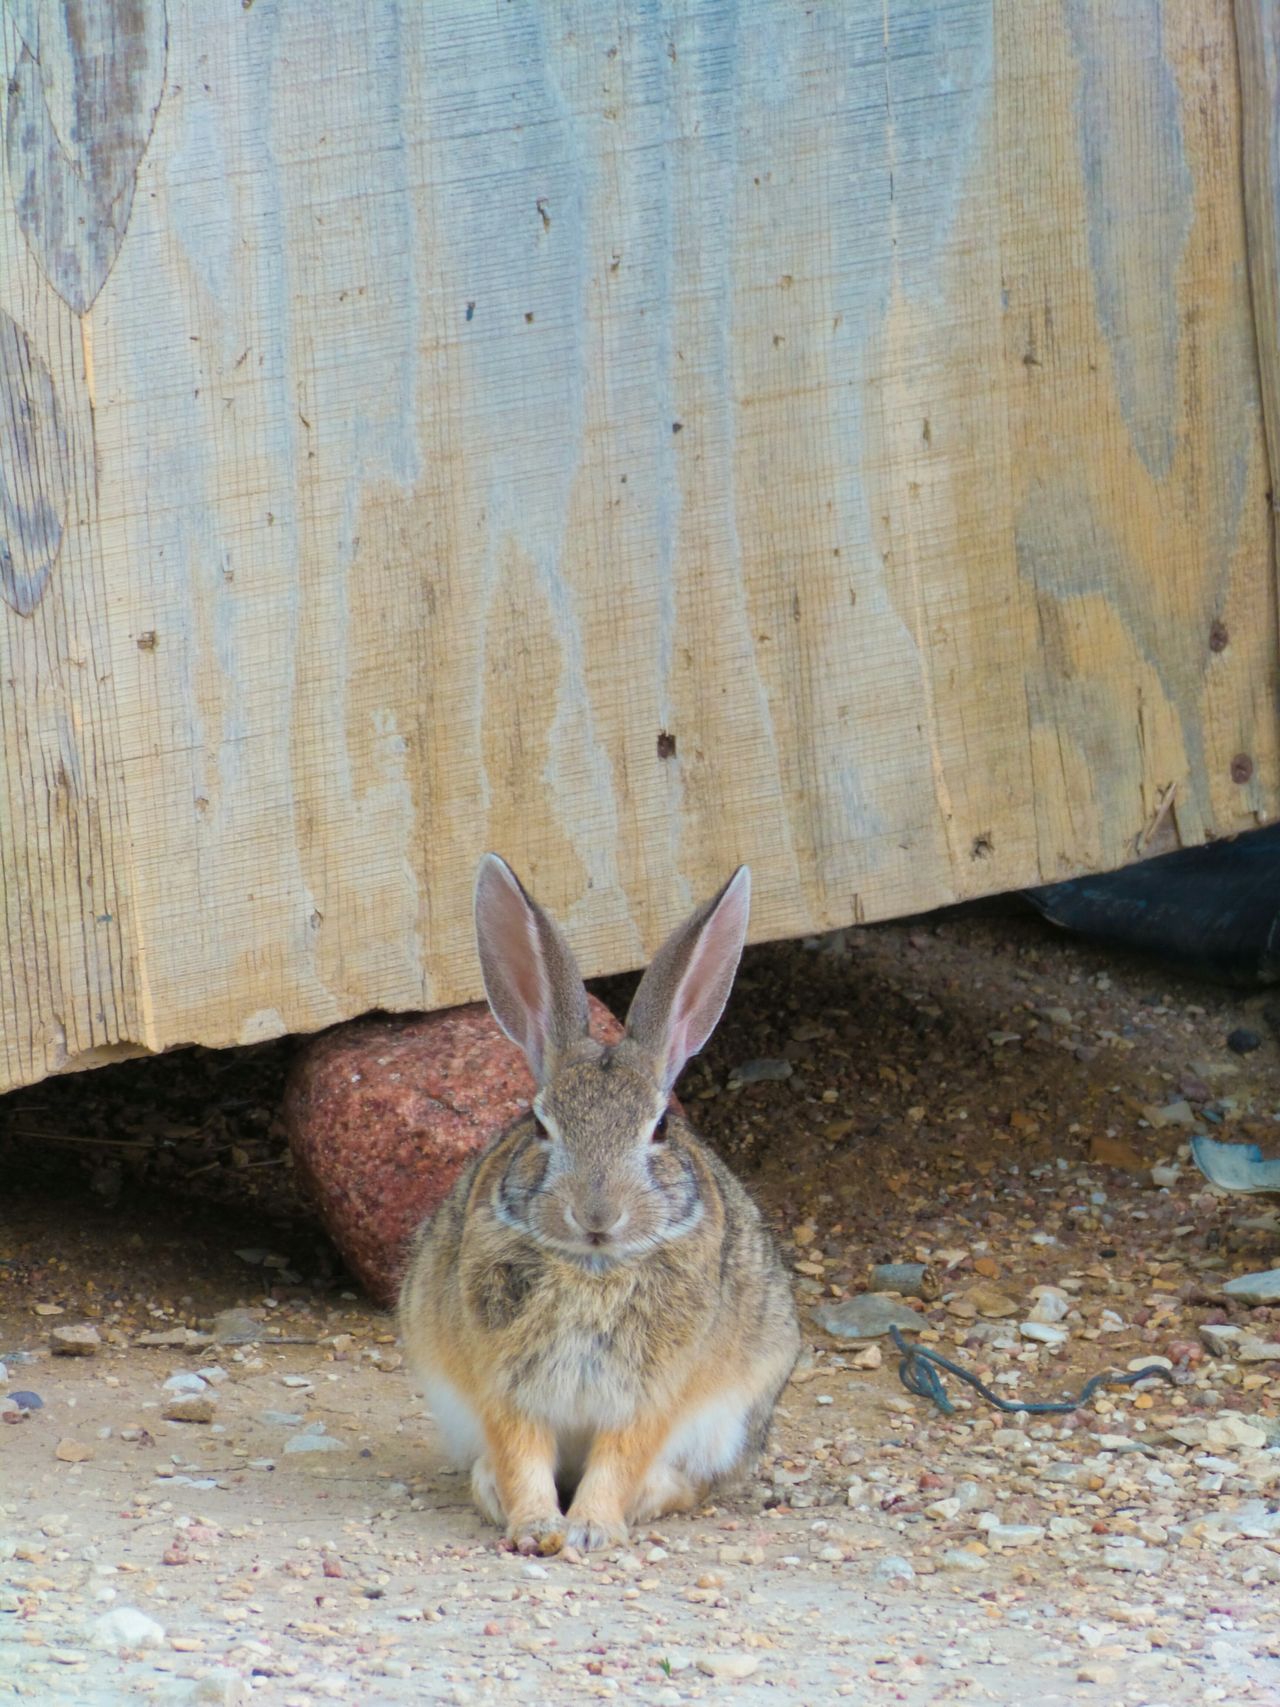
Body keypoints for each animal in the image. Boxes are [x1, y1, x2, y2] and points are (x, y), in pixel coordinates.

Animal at [401, 860, 802, 1556]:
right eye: (539, 1125)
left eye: (661, 1128)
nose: (597, 1215)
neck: (594, 1266)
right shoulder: (508, 1382)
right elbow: (521, 1452)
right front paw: (537, 1527)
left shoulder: (650, 1395)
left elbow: (621, 1457)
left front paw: (590, 1529)